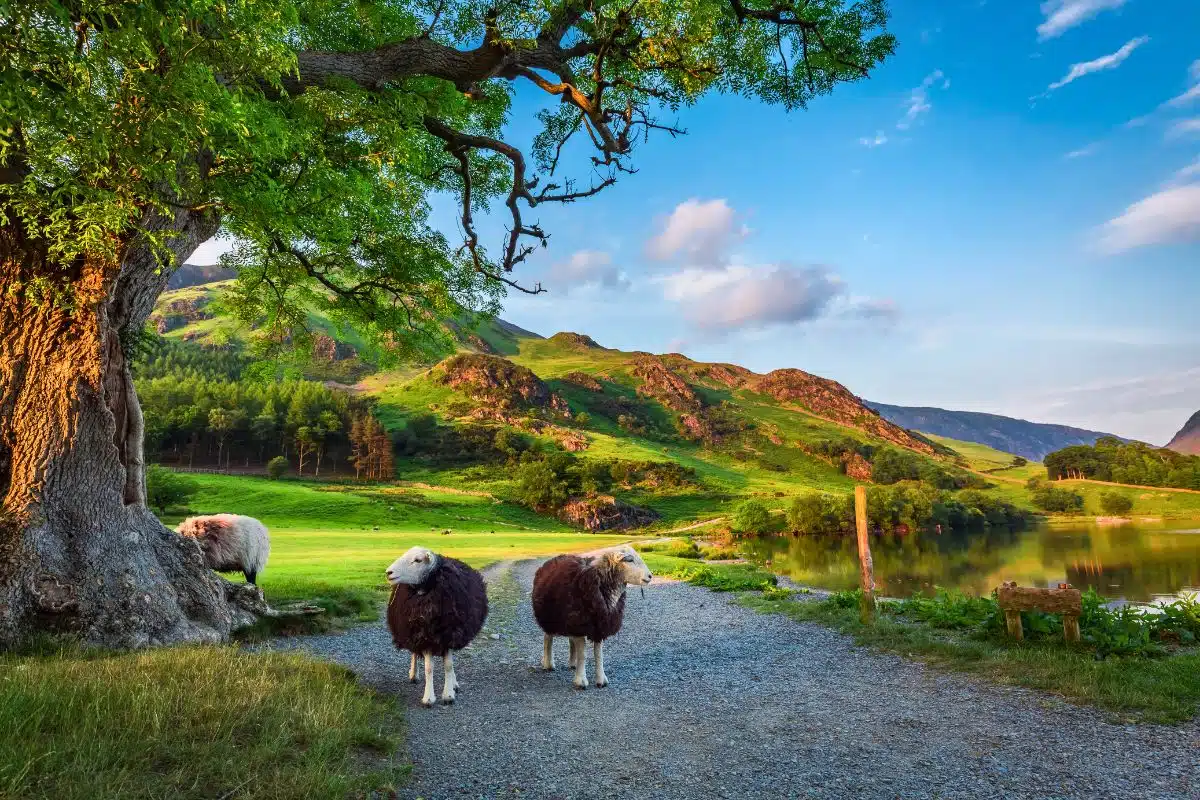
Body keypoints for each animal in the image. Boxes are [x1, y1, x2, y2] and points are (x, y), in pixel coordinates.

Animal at [388, 544, 492, 705]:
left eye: (417, 560)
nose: (389, 572)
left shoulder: (449, 634)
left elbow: (448, 665)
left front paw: (448, 694)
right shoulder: (423, 636)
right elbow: (429, 668)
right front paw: (428, 698)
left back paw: (454, 684)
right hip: (411, 632)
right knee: (414, 653)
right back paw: (414, 675)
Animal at [530, 546, 652, 690]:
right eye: (629, 560)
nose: (650, 576)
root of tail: (555, 558)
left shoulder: (599, 625)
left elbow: (598, 655)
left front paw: (601, 680)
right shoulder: (581, 622)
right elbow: (583, 654)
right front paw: (581, 681)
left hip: (571, 620)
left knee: (570, 641)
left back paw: (573, 663)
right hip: (551, 617)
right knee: (548, 638)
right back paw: (548, 663)